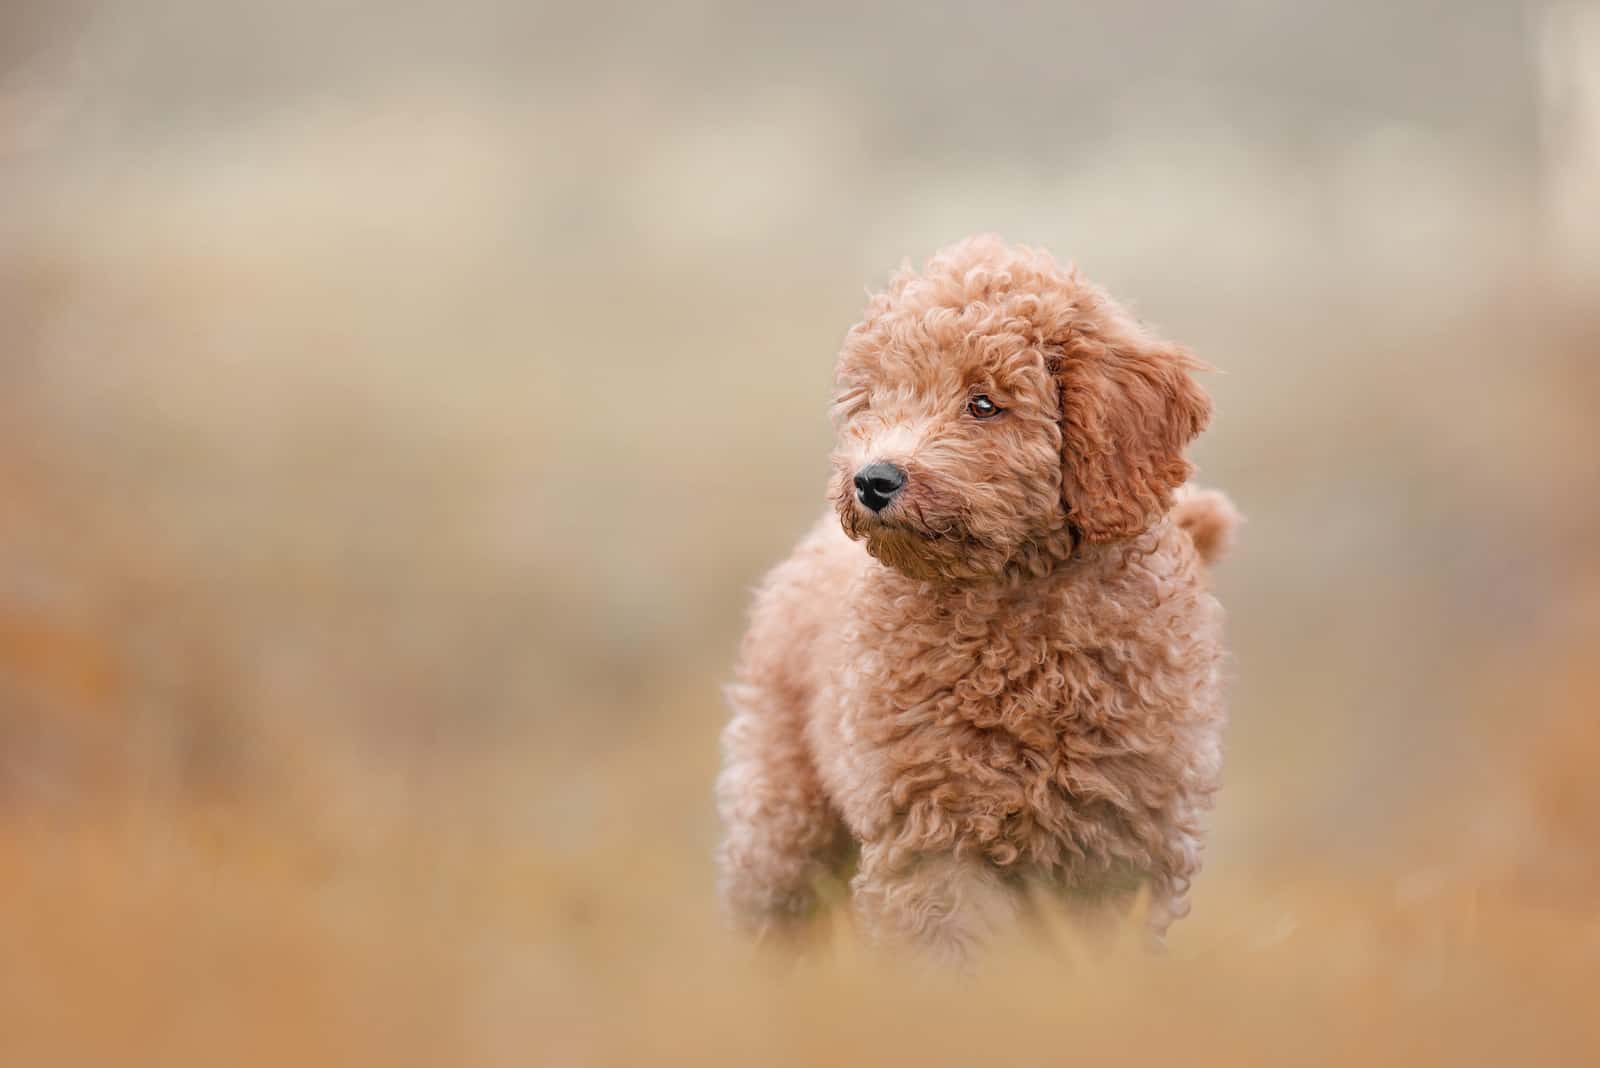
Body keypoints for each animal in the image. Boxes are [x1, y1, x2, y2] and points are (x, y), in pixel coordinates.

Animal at [716, 235, 1235, 965]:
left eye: (984, 404)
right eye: (874, 400)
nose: (872, 480)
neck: (1014, 615)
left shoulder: (1119, 841)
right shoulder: (932, 831)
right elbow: (948, 947)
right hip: (782, 804)